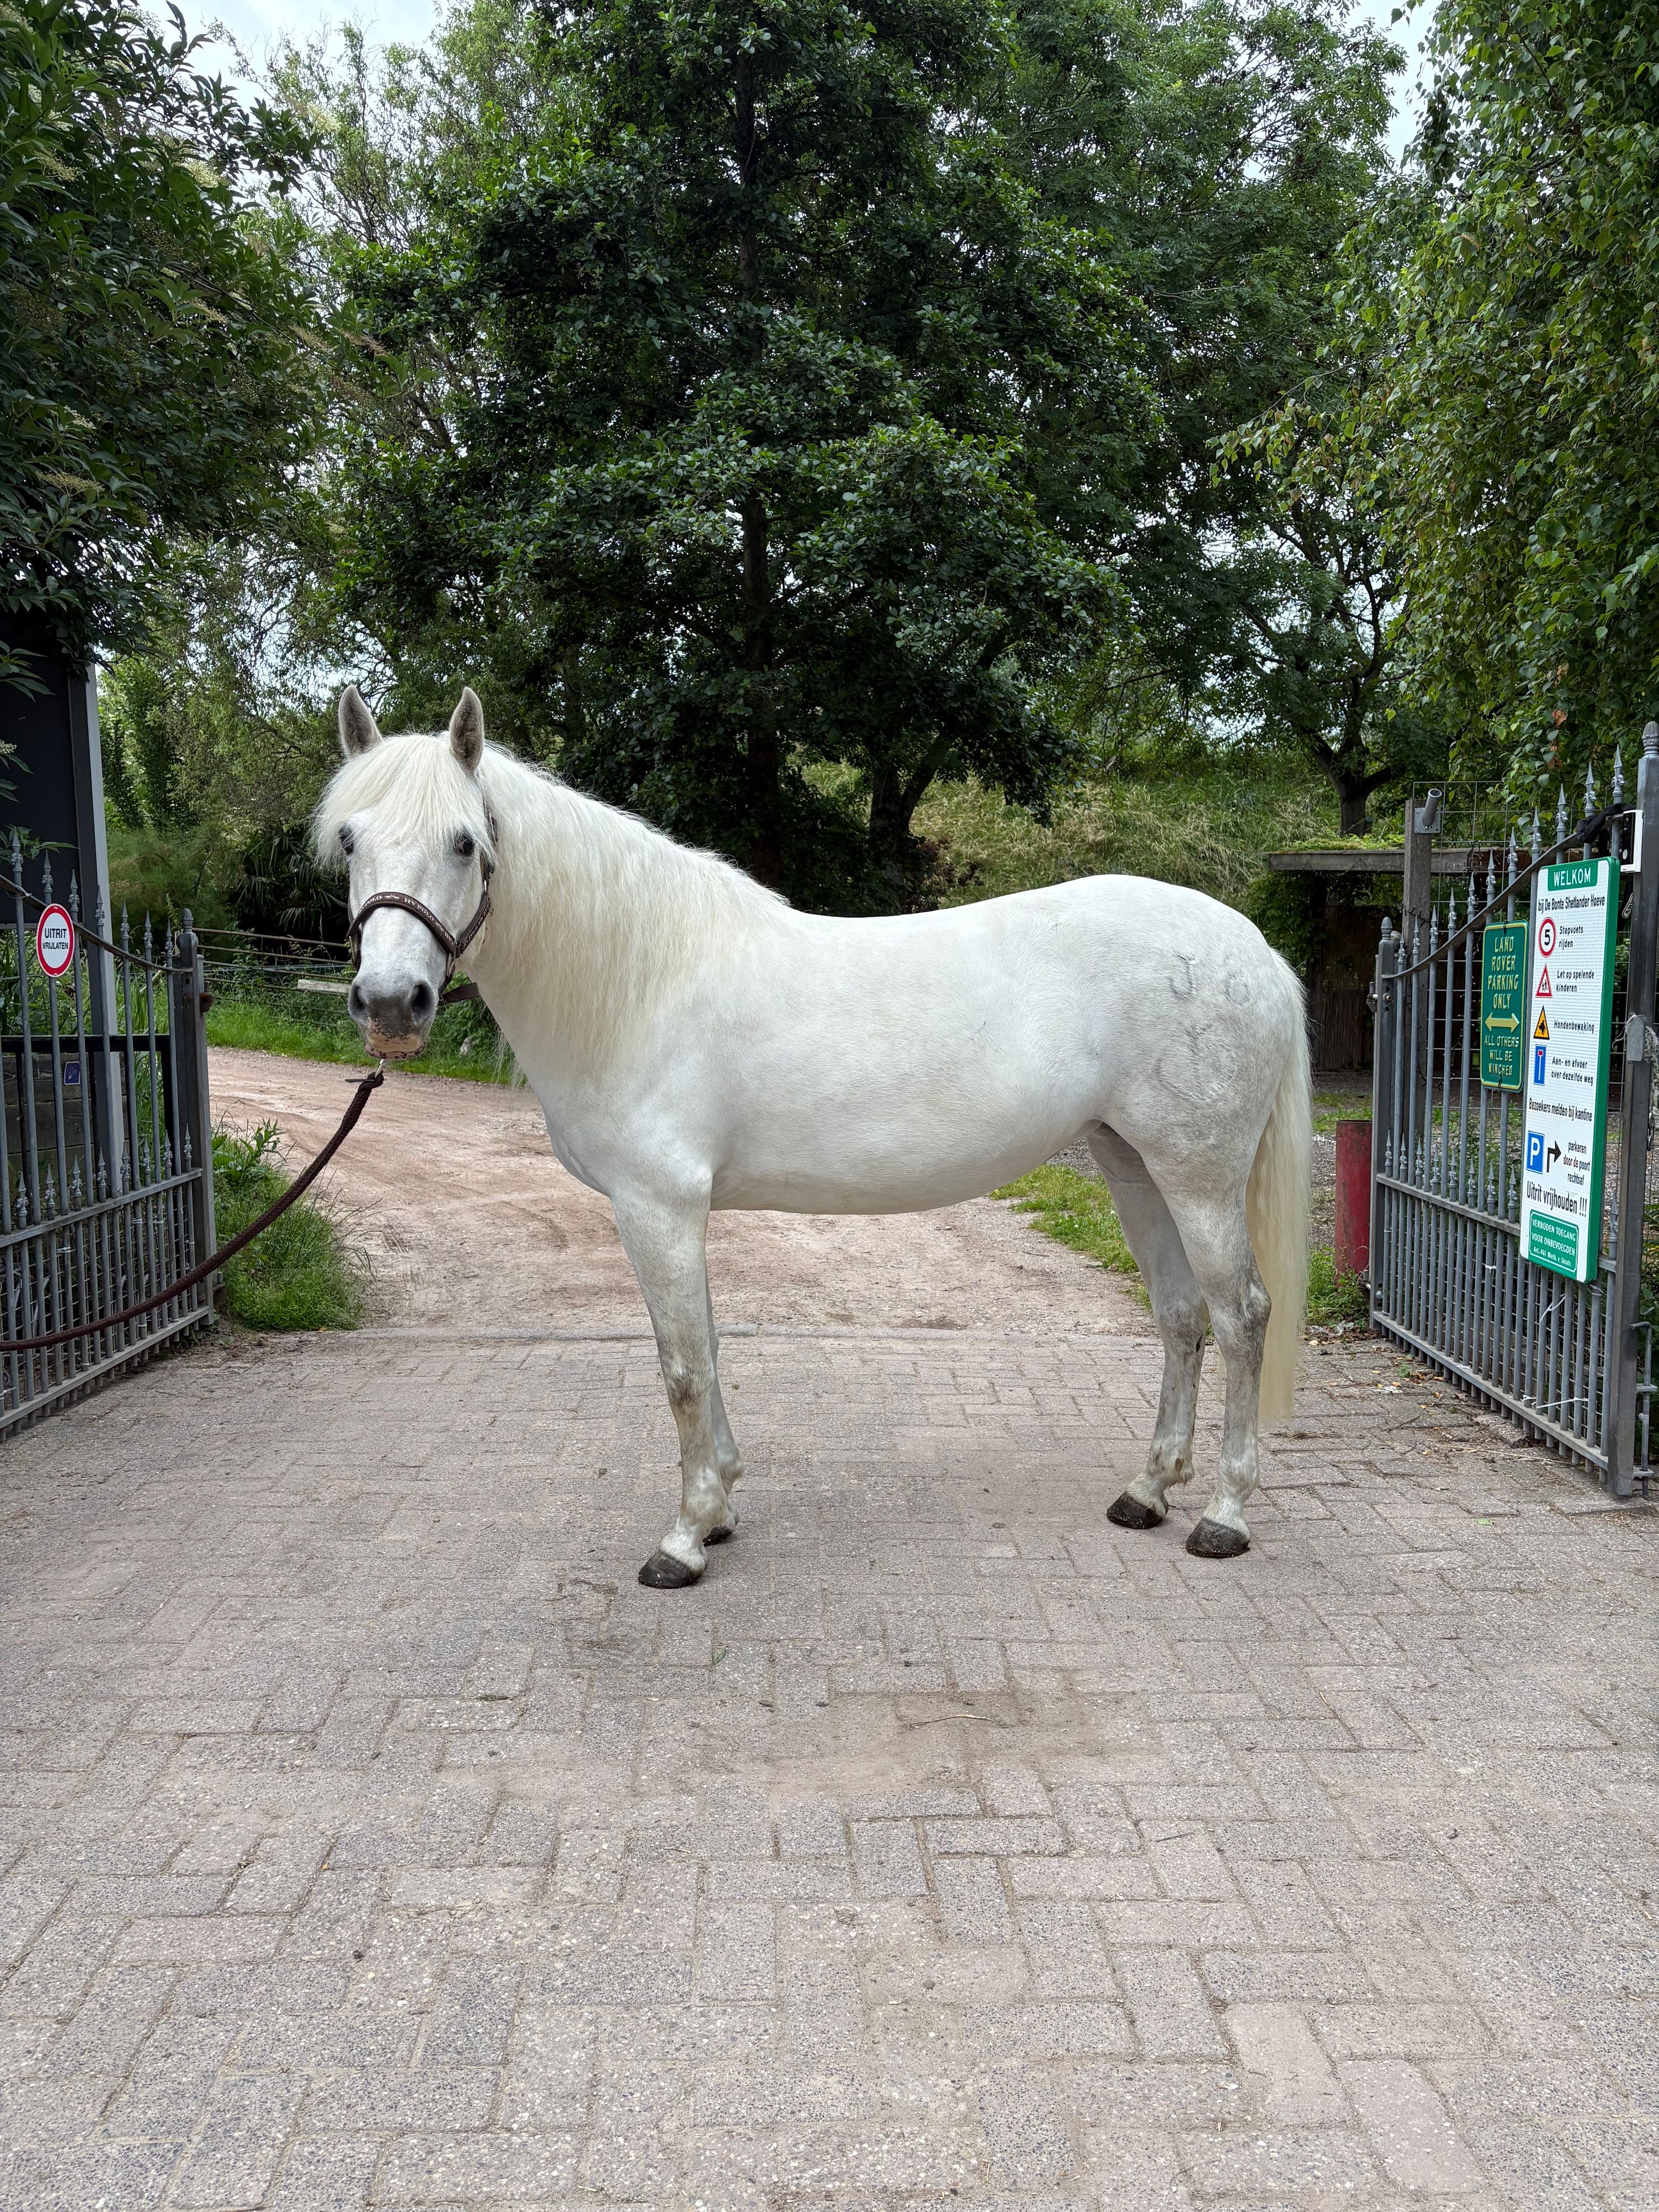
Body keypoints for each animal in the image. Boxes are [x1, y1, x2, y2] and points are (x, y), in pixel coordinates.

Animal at [318, 686, 1312, 1586]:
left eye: (465, 842)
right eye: (351, 841)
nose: (391, 1005)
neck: (643, 980)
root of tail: (1254, 949)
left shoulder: (658, 1207)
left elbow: (683, 1367)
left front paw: (684, 1539)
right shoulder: (676, 1214)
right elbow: (709, 1352)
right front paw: (720, 1508)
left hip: (1199, 1179)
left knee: (1240, 1316)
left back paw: (1223, 1517)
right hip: (1131, 1164)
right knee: (1180, 1316)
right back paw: (1147, 1492)